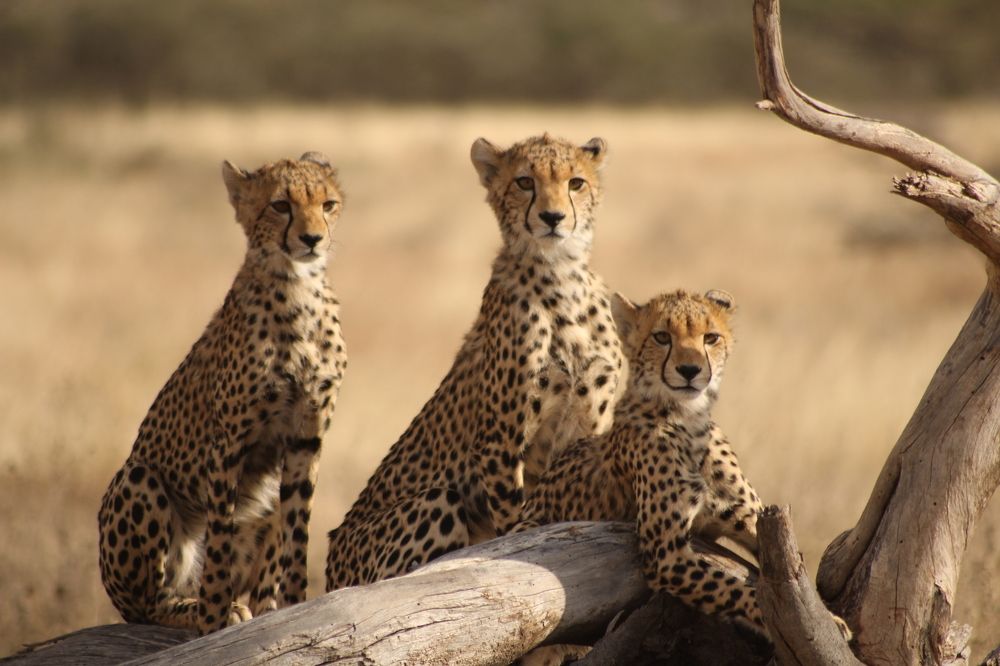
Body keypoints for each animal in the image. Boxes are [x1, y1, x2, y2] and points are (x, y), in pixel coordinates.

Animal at [97, 152, 347, 635]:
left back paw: (262, 606)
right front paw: (213, 617)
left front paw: (294, 606)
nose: (312, 239)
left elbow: (298, 531)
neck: (298, 287)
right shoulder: (230, 440)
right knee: (148, 605)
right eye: (280, 206)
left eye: (327, 204)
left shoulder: (307, 436)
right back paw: (197, 609)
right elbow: (219, 541)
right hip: (138, 478)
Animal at [325, 134, 625, 591]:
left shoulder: (586, 426)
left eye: (576, 183)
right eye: (524, 182)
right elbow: (511, 527)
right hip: (434, 502)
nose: (553, 217)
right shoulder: (497, 441)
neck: (562, 276)